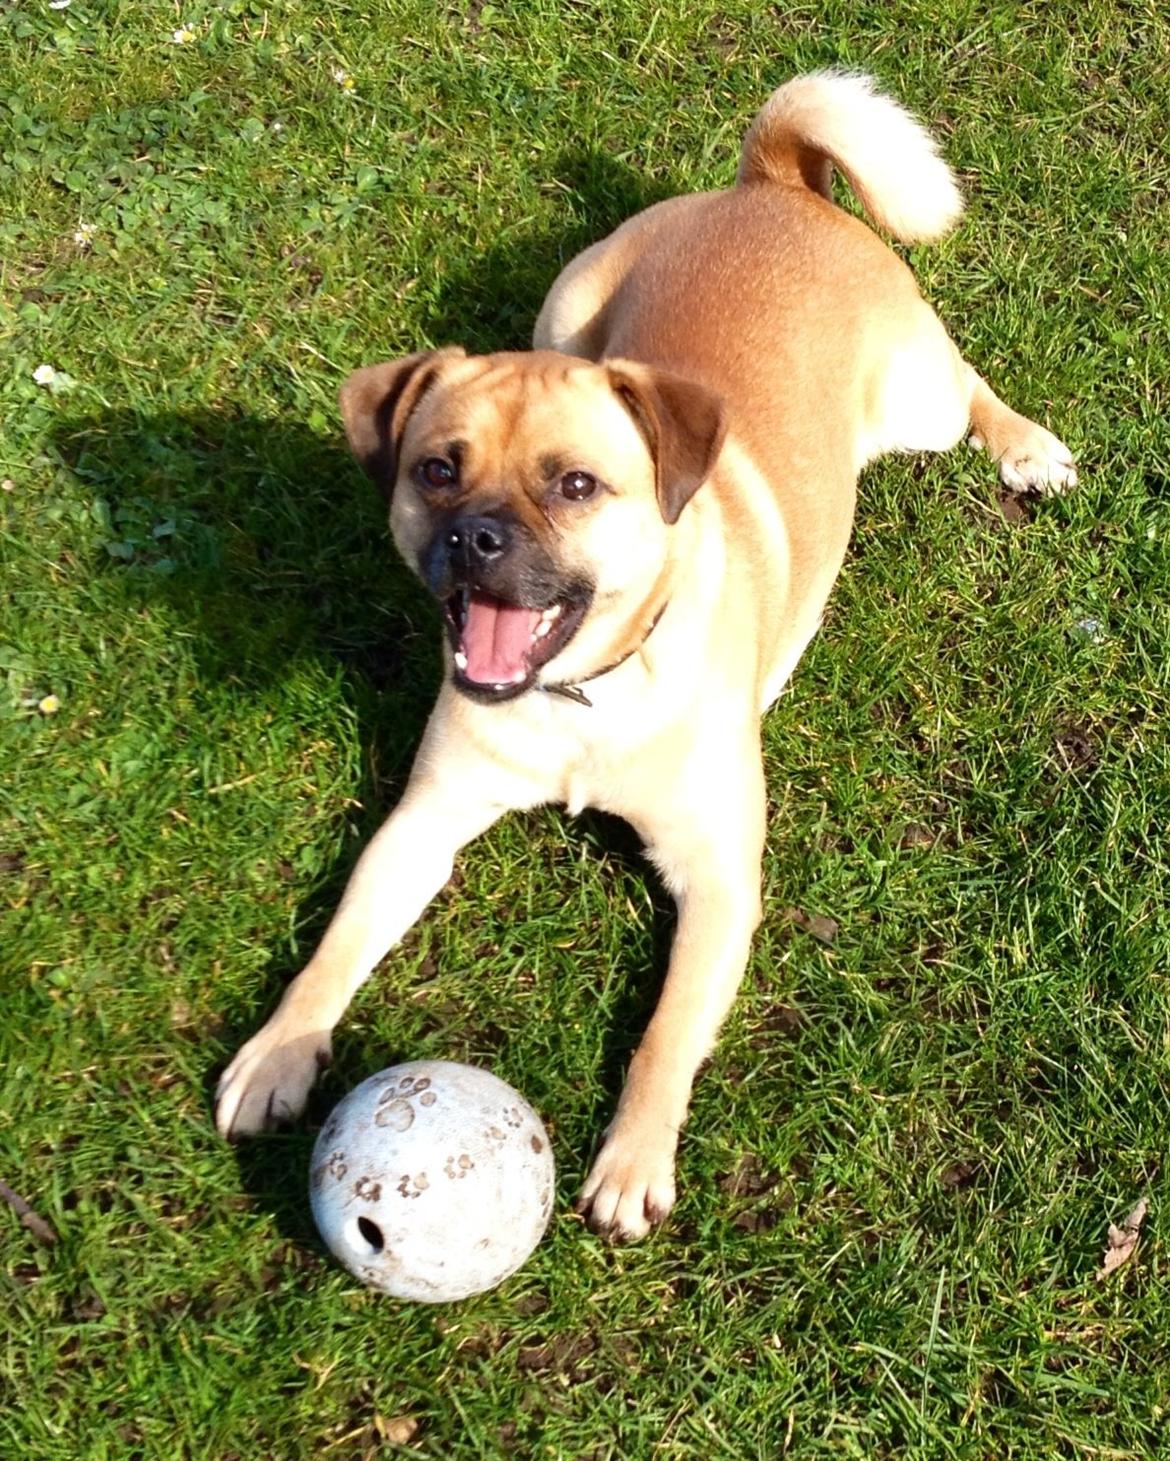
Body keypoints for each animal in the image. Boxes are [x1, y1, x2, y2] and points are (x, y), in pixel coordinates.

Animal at [214, 68, 1075, 1233]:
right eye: (436, 470)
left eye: (577, 486)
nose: (475, 537)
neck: (584, 695)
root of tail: (771, 183)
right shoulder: (423, 825)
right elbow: (340, 940)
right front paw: (281, 1049)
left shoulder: (716, 876)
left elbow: (667, 1032)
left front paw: (632, 1159)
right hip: (569, 311)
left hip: (919, 405)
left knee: (973, 386)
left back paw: (1027, 448)